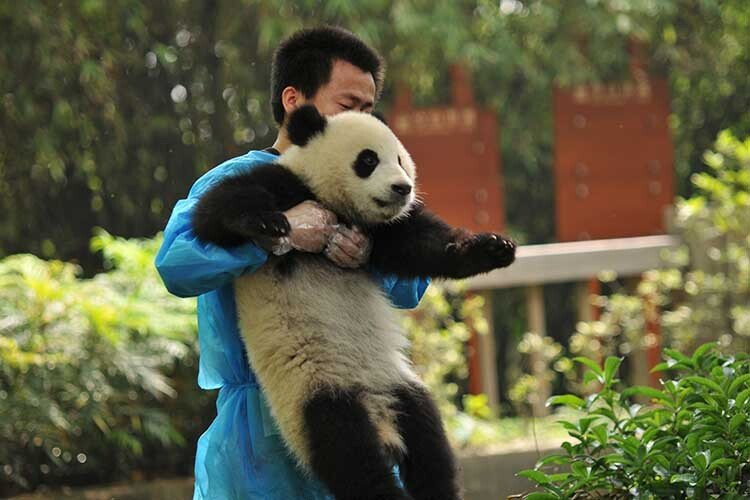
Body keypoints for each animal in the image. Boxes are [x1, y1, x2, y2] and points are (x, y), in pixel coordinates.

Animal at [193, 104, 516, 500]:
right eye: (368, 160)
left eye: (400, 160)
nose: (403, 188)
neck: (338, 208)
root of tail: (380, 418)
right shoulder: (285, 184)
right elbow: (211, 214)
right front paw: (266, 223)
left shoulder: (387, 231)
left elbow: (427, 245)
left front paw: (494, 248)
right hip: (317, 396)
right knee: (352, 457)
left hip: (401, 386)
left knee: (429, 446)